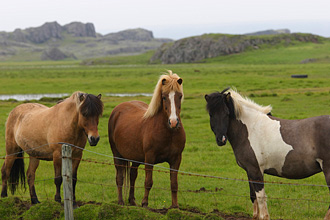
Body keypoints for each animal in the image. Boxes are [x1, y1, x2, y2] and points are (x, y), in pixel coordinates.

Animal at [108, 71, 186, 208]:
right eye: (164, 97)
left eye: (180, 96)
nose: (173, 122)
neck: (168, 133)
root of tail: (117, 110)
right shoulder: (149, 158)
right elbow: (148, 182)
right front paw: (144, 203)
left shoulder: (176, 159)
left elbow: (174, 184)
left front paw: (175, 206)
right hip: (117, 155)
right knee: (120, 177)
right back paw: (121, 201)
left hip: (135, 157)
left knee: (132, 176)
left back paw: (132, 201)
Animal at [204, 88, 330, 220]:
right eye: (211, 114)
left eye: (227, 113)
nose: (221, 139)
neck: (250, 129)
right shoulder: (249, 172)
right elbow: (253, 197)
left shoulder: (256, 171)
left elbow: (261, 199)